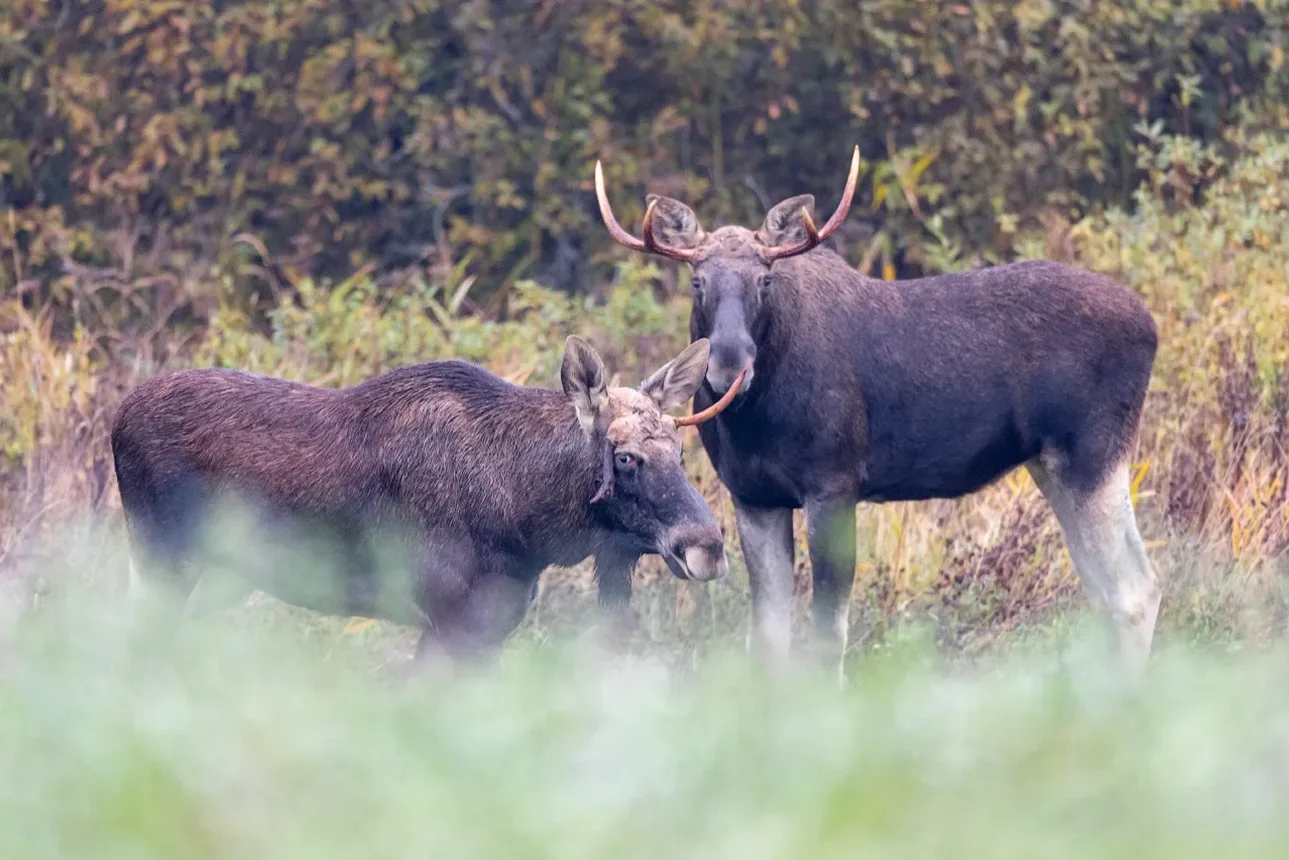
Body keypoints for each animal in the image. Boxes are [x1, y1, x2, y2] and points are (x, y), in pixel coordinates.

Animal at [110, 335, 737, 665]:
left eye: (681, 447)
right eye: (624, 456)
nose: (707, 547)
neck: (526, 516)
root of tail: (116, 417)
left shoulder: (491, 625)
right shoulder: (449, 620)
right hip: (161, 560)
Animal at [598, 146, 1165, 670]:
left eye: (766, 278)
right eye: (698, 281)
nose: (727, 370)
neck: (754, 423)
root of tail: (1151, 325)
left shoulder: (834, 485)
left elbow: (828, 636)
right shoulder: (754, 497)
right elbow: (767, 641)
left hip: (1091, 455)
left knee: (1135, 589)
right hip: (1052, 465)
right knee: (1111, 590)